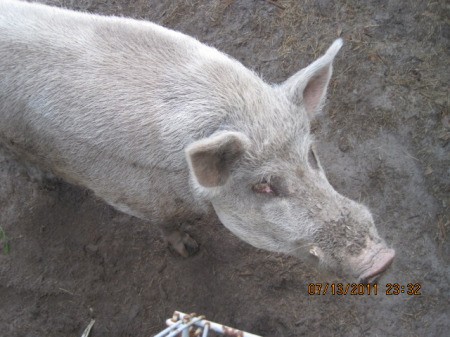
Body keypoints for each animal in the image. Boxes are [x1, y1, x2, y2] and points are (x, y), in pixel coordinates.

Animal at [0, 1, 394, 282]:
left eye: (311, 155)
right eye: (263, 186)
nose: (382, 261)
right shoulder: (135, 198)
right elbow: (167, 226)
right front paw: (190, 250)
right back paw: (46, 182)